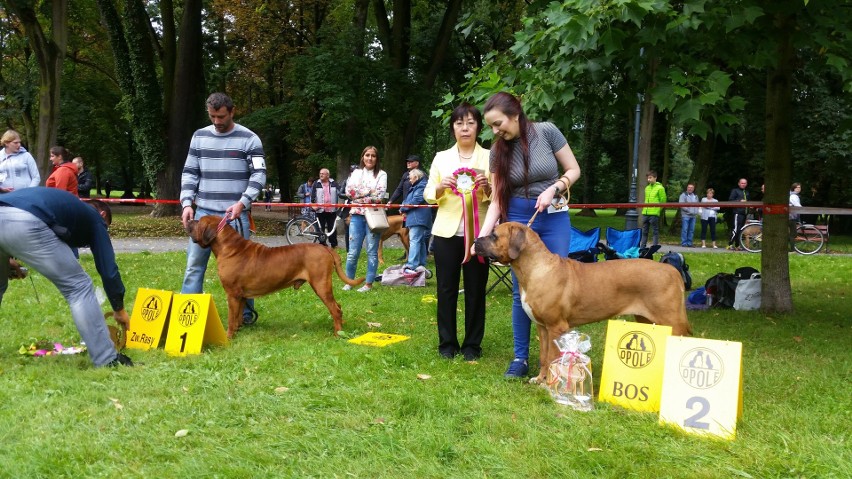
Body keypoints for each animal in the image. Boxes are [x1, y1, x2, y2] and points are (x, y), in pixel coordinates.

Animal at [185, 216, 364, 340]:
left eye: (199, 221)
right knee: (338, 307)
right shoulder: (240, 296)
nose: (189, 219)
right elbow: (237, 317)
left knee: (335, 309)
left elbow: (231, 318)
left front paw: (228, 337)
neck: (229, 248)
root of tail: (326, 249)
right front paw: (238, 330)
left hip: (321, 285)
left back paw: (337, 333)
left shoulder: (232, 294)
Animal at [476, 223, 688, 384]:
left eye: (494, 235)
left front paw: (550, 382)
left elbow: (552, 356)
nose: (476, 240)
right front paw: (540, 378)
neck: (536, 269)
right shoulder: (542, 327)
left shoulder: (556, 327)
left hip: (672, 322)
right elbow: (544, 356)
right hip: (647, 320)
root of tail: (672, 271)